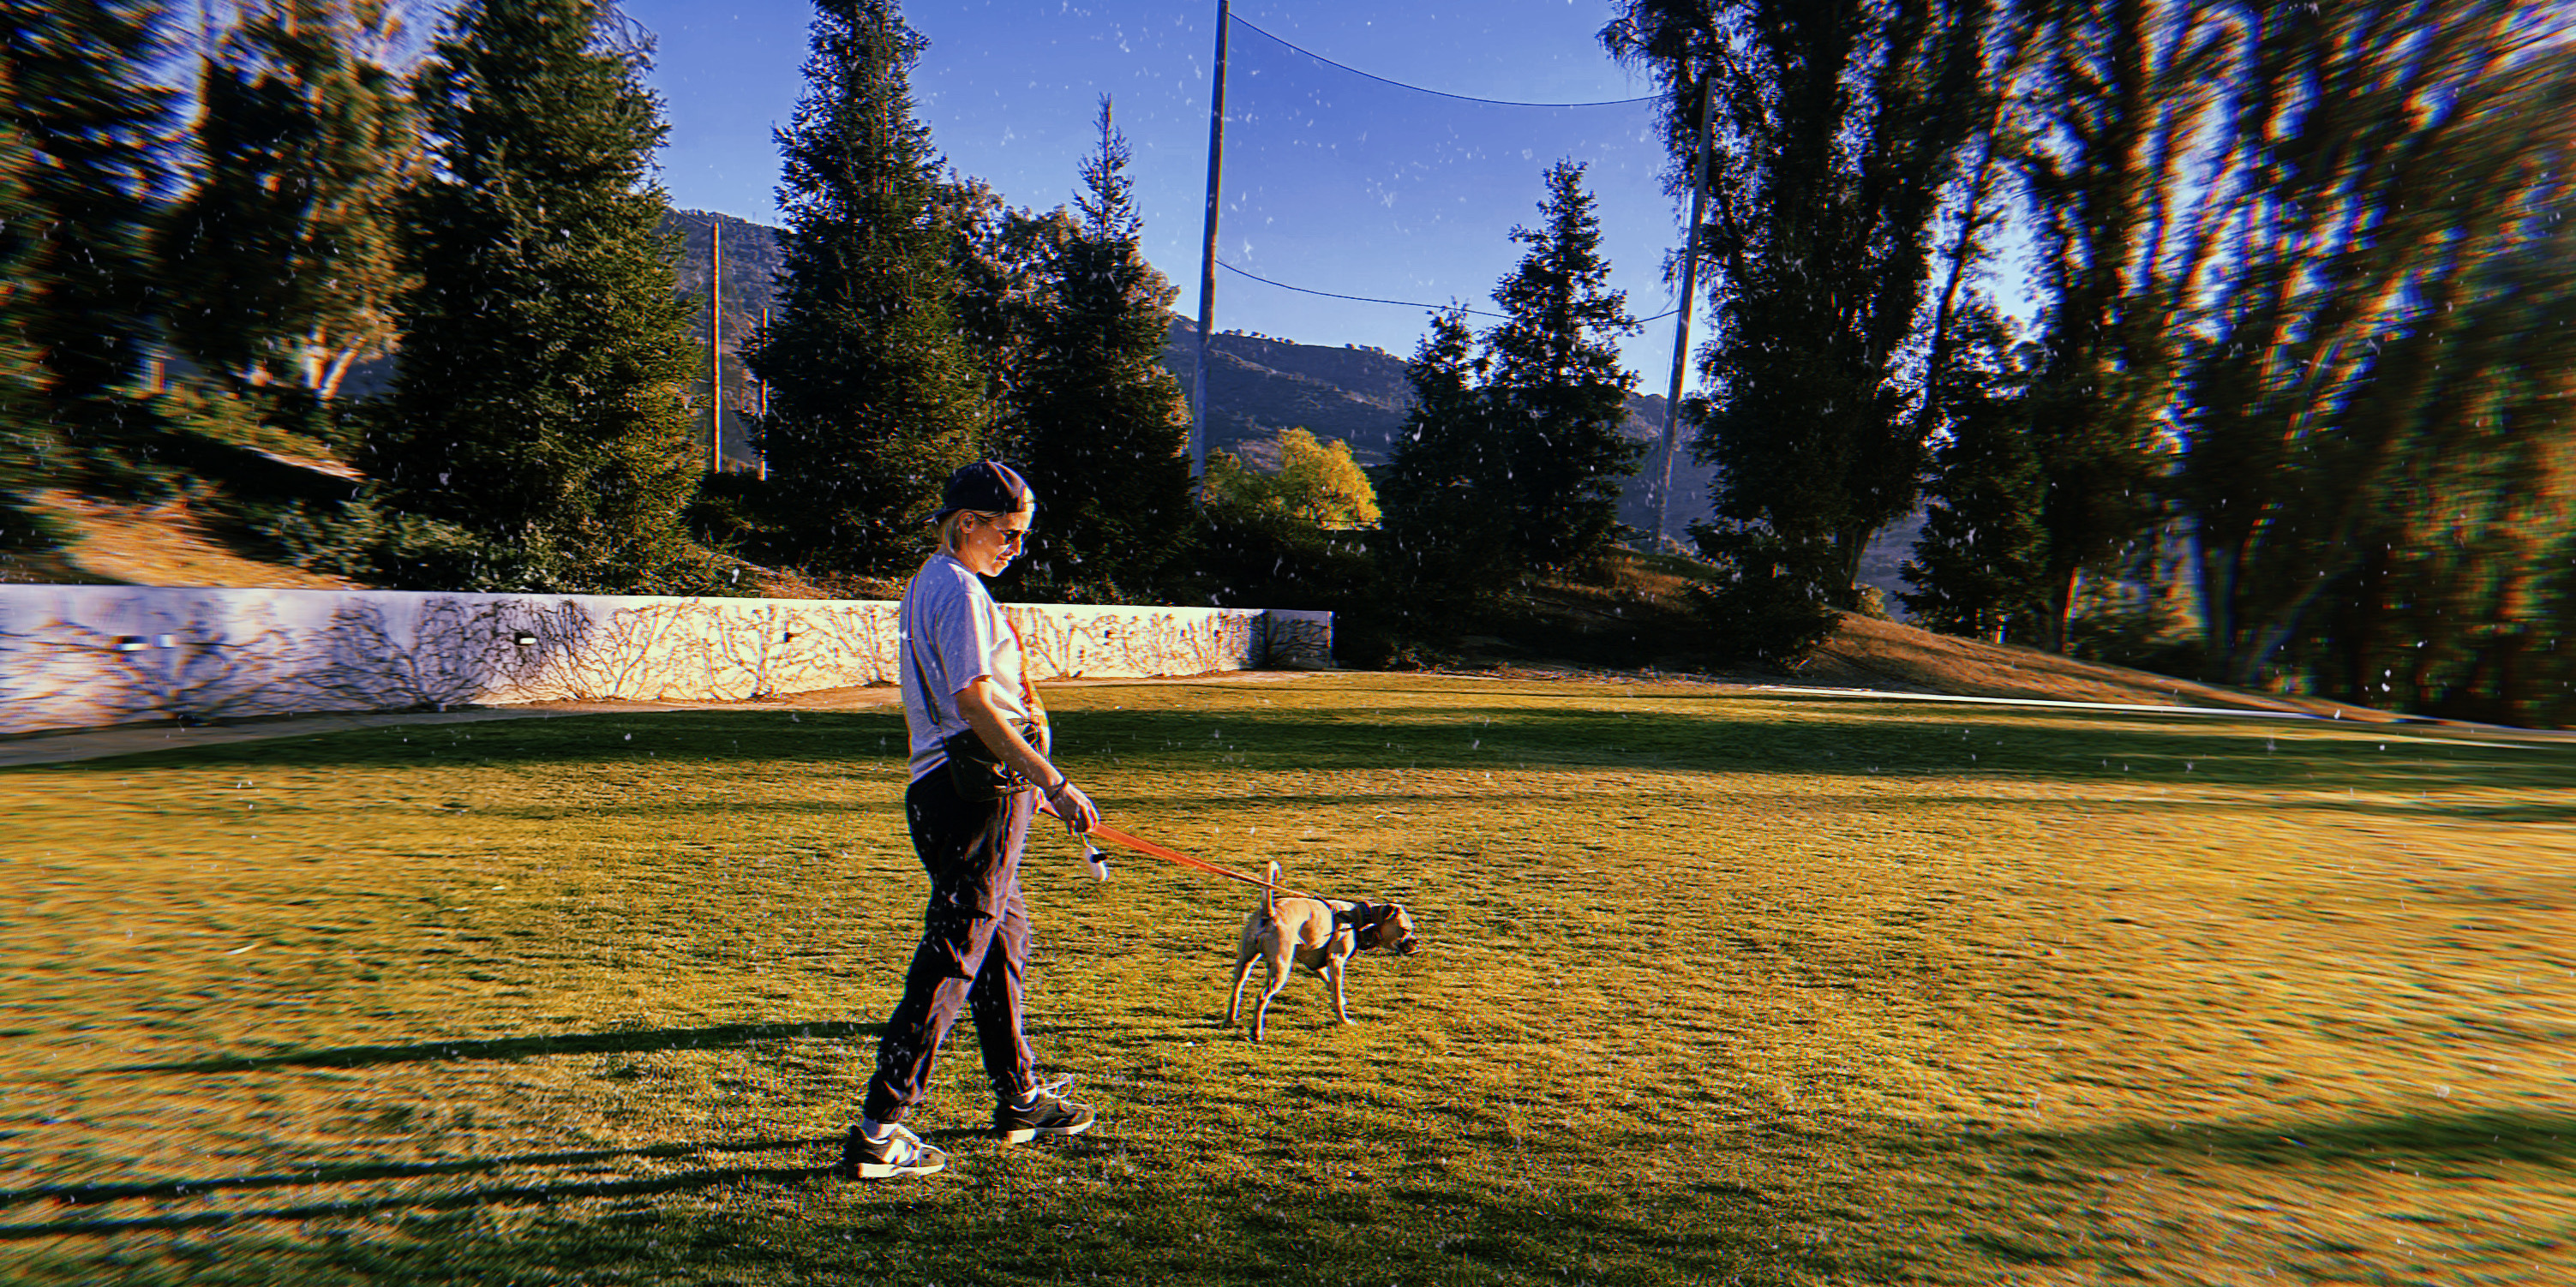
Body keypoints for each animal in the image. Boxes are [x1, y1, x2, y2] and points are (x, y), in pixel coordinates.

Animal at [1220, 859, 1422, 1039]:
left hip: (1245, 961)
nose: (1416, 945)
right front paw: (1344, 1019)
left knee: (1237, 987)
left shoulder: (1317, 963)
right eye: (1405, 929)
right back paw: (1256, 1031)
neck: (1359, 917)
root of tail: (1269, 913)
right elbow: (1338, 991)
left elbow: (1332, 987)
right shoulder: (1337, 960)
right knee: (1262, 996)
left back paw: (1230, 1020)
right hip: (1281, 966)